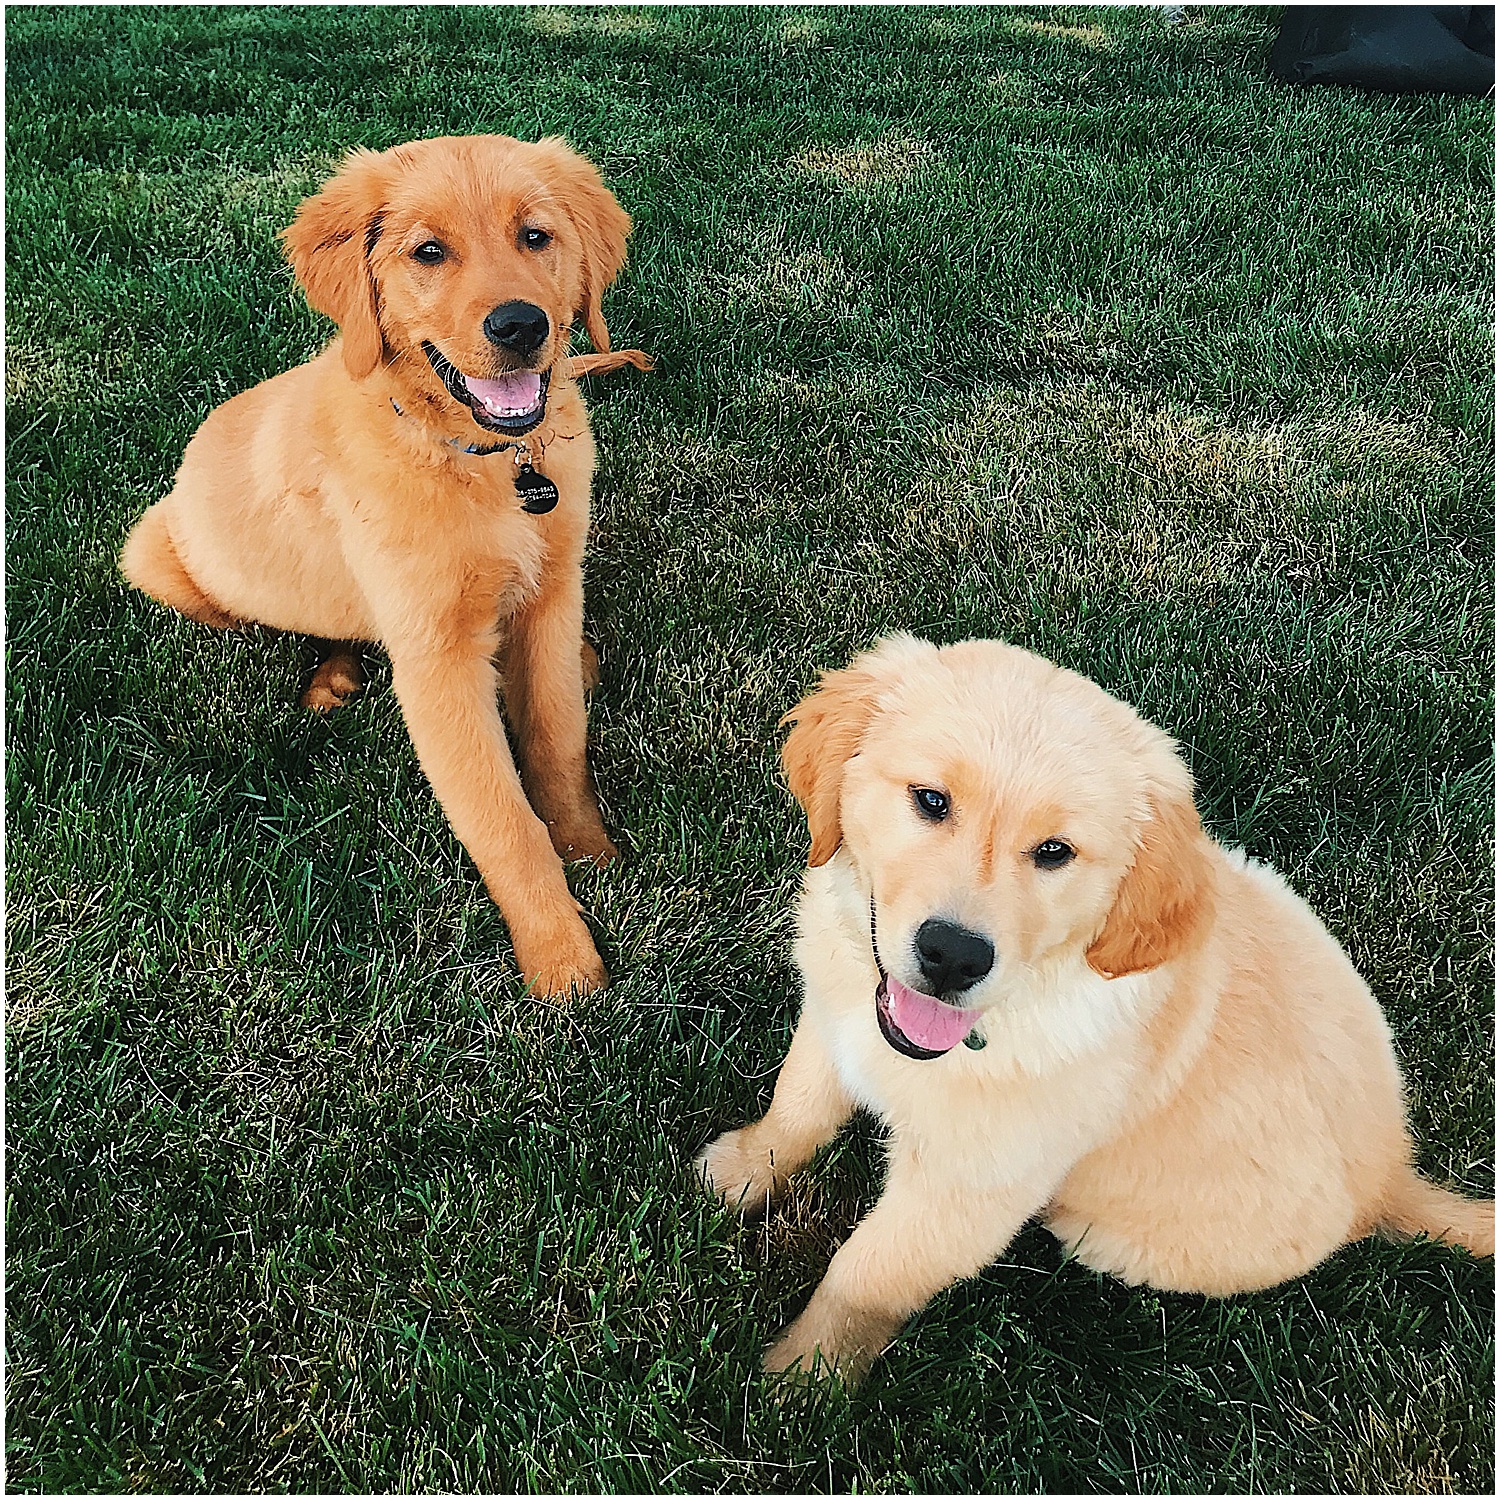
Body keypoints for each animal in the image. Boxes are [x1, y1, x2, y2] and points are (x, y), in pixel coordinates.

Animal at [120, 132, 648, 996]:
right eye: (428, 252)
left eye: (536, 237)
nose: (520, 325)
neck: (485, 460)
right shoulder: (436, 659)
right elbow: (501, 818)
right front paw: (562, 962)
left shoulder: (553, 590)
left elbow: (557, 739)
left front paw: (591, 853)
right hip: (155, 553)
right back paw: (332, 675)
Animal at [696, 633, 1494, 1380]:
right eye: (931, 801)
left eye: (1055, 852)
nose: (954, 955)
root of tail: (1392, 1178)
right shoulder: (836, 1018)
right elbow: (797, 1105)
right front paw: (742, 1169)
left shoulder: (966, 1189)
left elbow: (867, 1274)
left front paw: (806, 1379)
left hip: (1105, 1232)